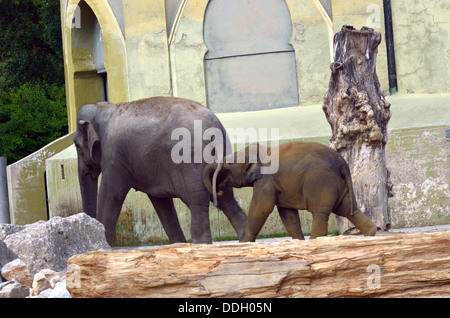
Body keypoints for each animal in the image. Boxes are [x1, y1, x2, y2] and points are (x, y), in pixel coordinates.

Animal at [75, 95, 248, 245]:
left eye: (76, 145)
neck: (103, 109)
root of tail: (214, 129)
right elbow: (161, 202)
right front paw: (179, 244)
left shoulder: (114, 156)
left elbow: (111, 195)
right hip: (223, 154)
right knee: (226, 197)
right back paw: (244, 239)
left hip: (190, 160)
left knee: (198, 202)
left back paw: (202, 245)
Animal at [203, 142, 376, 241]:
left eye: (230, 164)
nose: (218, 193)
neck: (263, 151)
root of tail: (343, 164)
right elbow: (287, 213)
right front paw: (298, 242)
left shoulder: (266, 181)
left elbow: (261, 209)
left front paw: (246, 243)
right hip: (339, 185)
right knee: (347, 210)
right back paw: (371, 233)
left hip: (322, 184)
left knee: (321, 213)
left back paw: (315, 241)